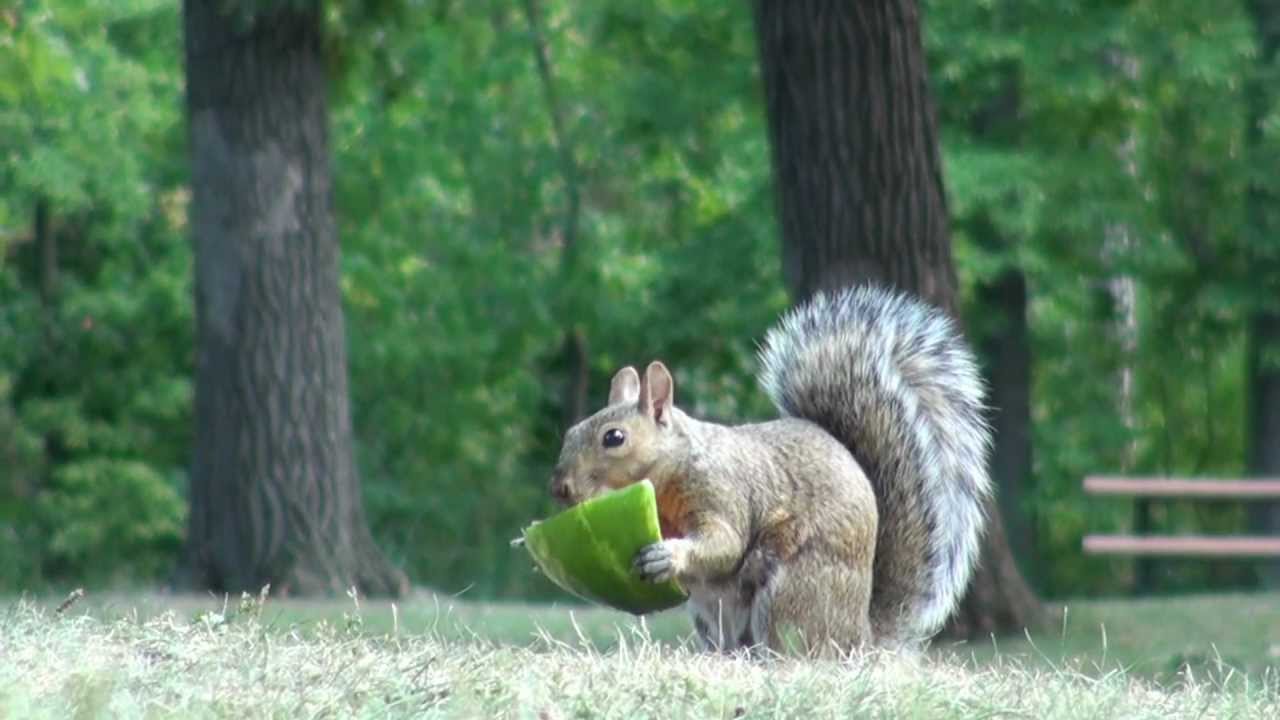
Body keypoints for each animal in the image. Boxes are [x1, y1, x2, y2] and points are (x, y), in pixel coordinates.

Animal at [548, 285, 992, 655]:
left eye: (614, 438)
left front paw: (669, 555)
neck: (669, 473)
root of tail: (859, 637)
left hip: (792, 591)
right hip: (712, 616)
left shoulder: (722, 490)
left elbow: (724, 543)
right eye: (570, 432)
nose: (560, 488)